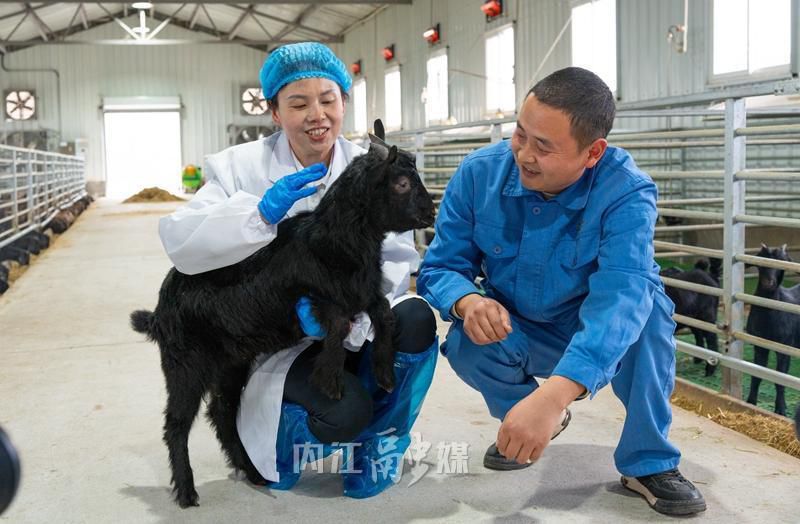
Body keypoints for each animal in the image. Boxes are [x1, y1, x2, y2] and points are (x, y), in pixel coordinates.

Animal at [745, 243, 799, 416]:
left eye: (782, 262)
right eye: (760, 263)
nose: (769, 283)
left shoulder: (785, 347)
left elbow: (780, 379)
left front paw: (780, 408)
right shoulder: (759, 345)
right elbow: (756, 375)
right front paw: (751, 401)